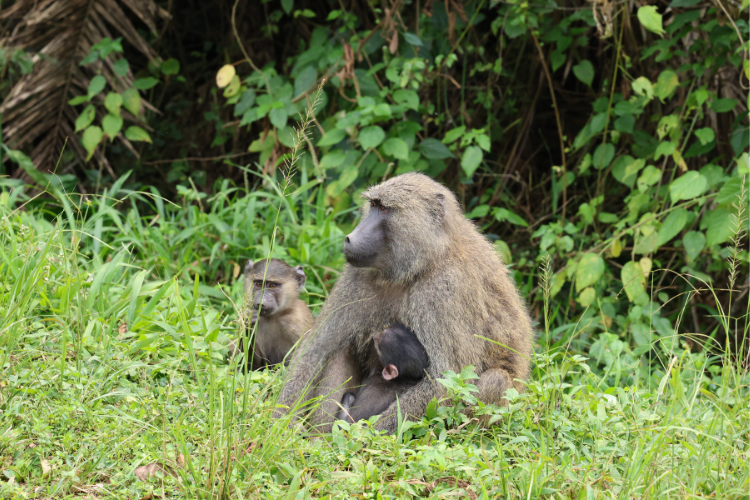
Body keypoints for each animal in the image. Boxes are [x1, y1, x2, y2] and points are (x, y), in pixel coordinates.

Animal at [274, 172, 533, 434]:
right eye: (373, 205)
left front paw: (357, 438)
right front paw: (280, 422)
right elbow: (317, 348)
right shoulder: (357, 274)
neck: (423, 262)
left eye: (385, 208)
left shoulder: (445, 289)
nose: (349, 238)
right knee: (340, 350)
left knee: (495, 380)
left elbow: (446, 382)